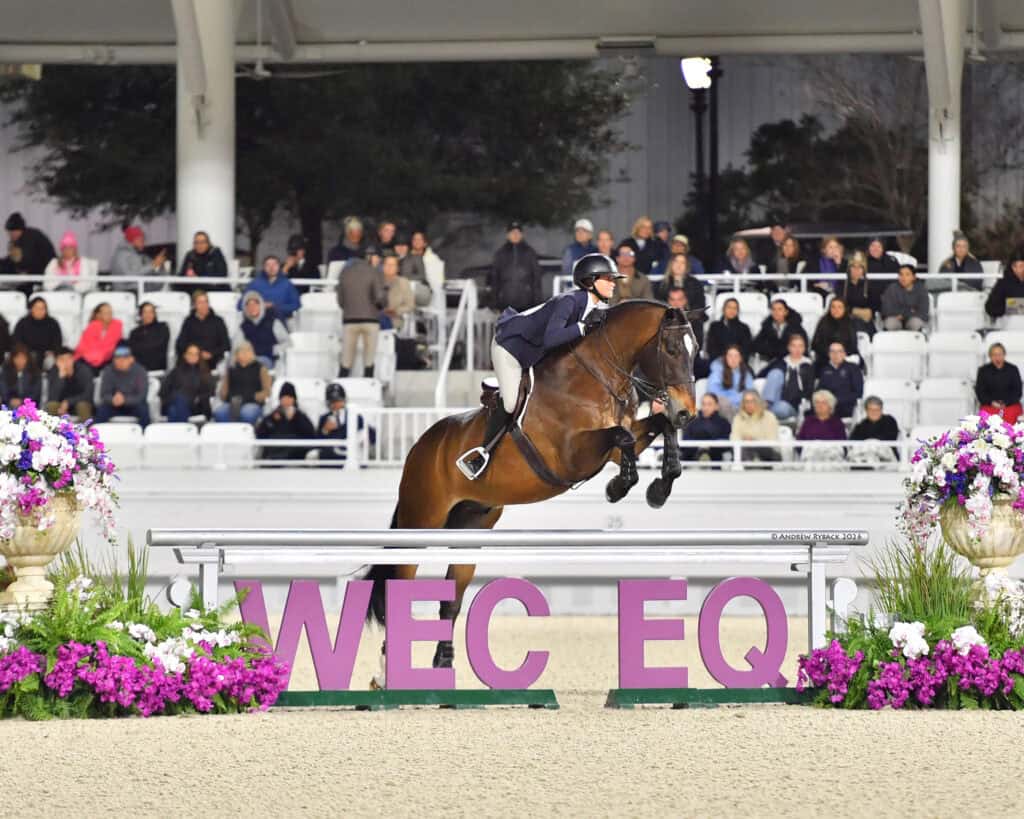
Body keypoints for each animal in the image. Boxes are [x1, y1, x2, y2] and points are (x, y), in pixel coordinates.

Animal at [366, 298, 701, 673]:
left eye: (696, 349)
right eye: (671, 349)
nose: (687, 412)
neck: (597, 377)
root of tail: (419, 448)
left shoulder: (614, 448)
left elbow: (652, 428)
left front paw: (660, 487)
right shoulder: (571, 454)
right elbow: (622, 435)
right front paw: (618, 487)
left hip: (471, 525)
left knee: (451, 600)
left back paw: (442, 663)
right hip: (421, 521)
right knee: (400, 582)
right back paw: (388, 668)